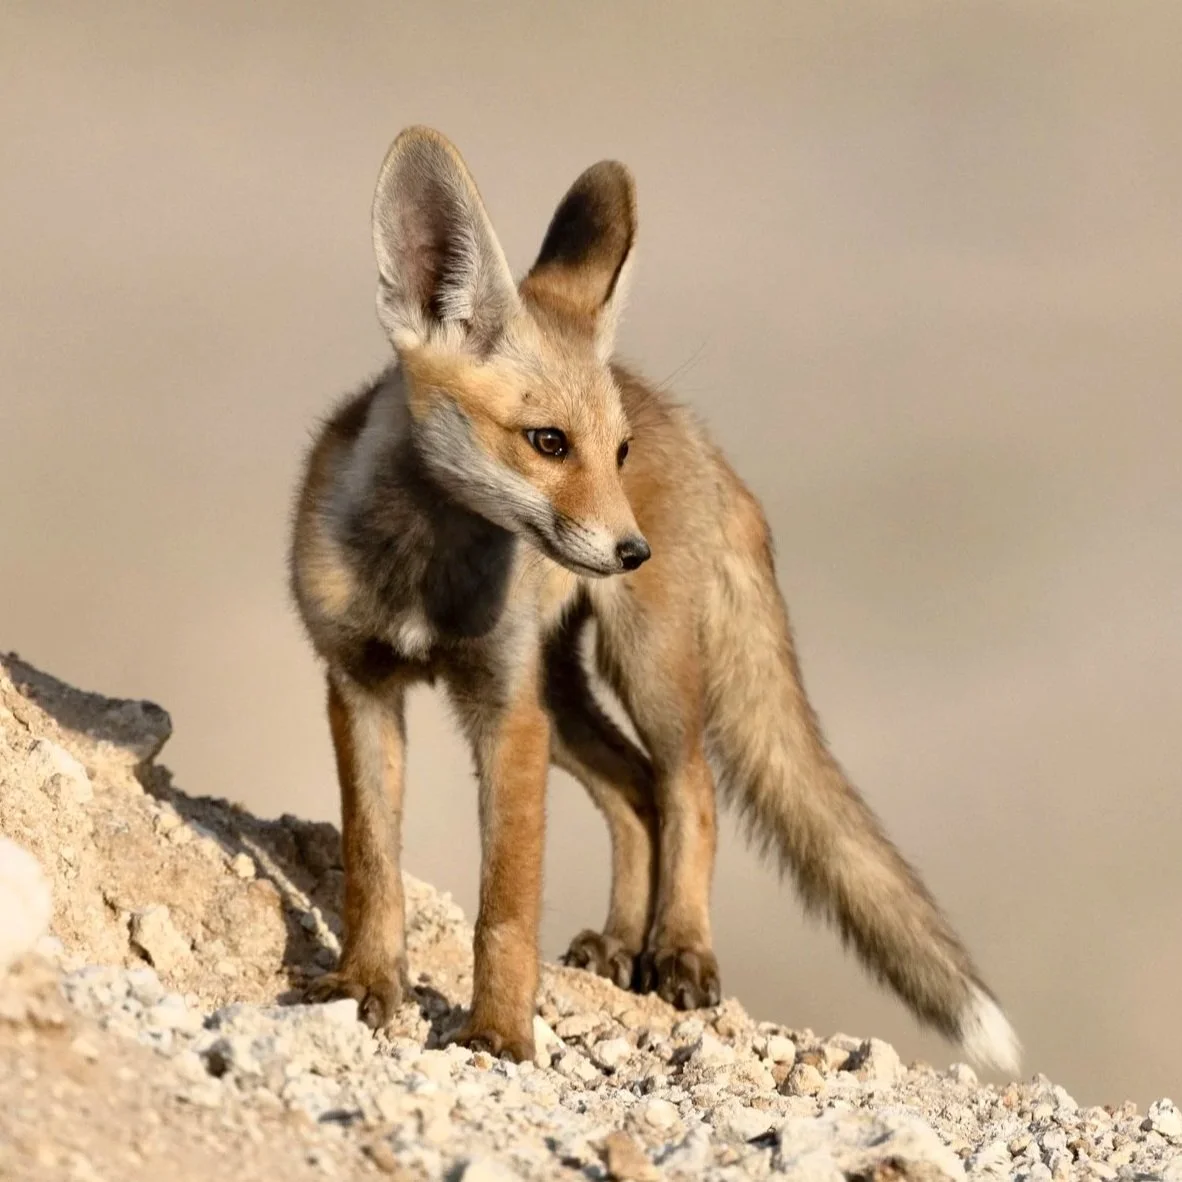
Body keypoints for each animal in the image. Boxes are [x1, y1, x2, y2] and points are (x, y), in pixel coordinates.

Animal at [288, 125, 1021, 1073]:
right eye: (548, 442)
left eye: (618, 451)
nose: (634, 551)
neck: (421, 572)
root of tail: (699, 433)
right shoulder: (361, 682)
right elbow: (373, 865)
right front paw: (367, 985)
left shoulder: (504, 704)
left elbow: (506, 908)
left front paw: (500, 1033)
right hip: (564, 696)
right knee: (634, 792)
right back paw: (617, 942)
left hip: (645, 669)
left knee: (688, 789)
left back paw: (678, 950)